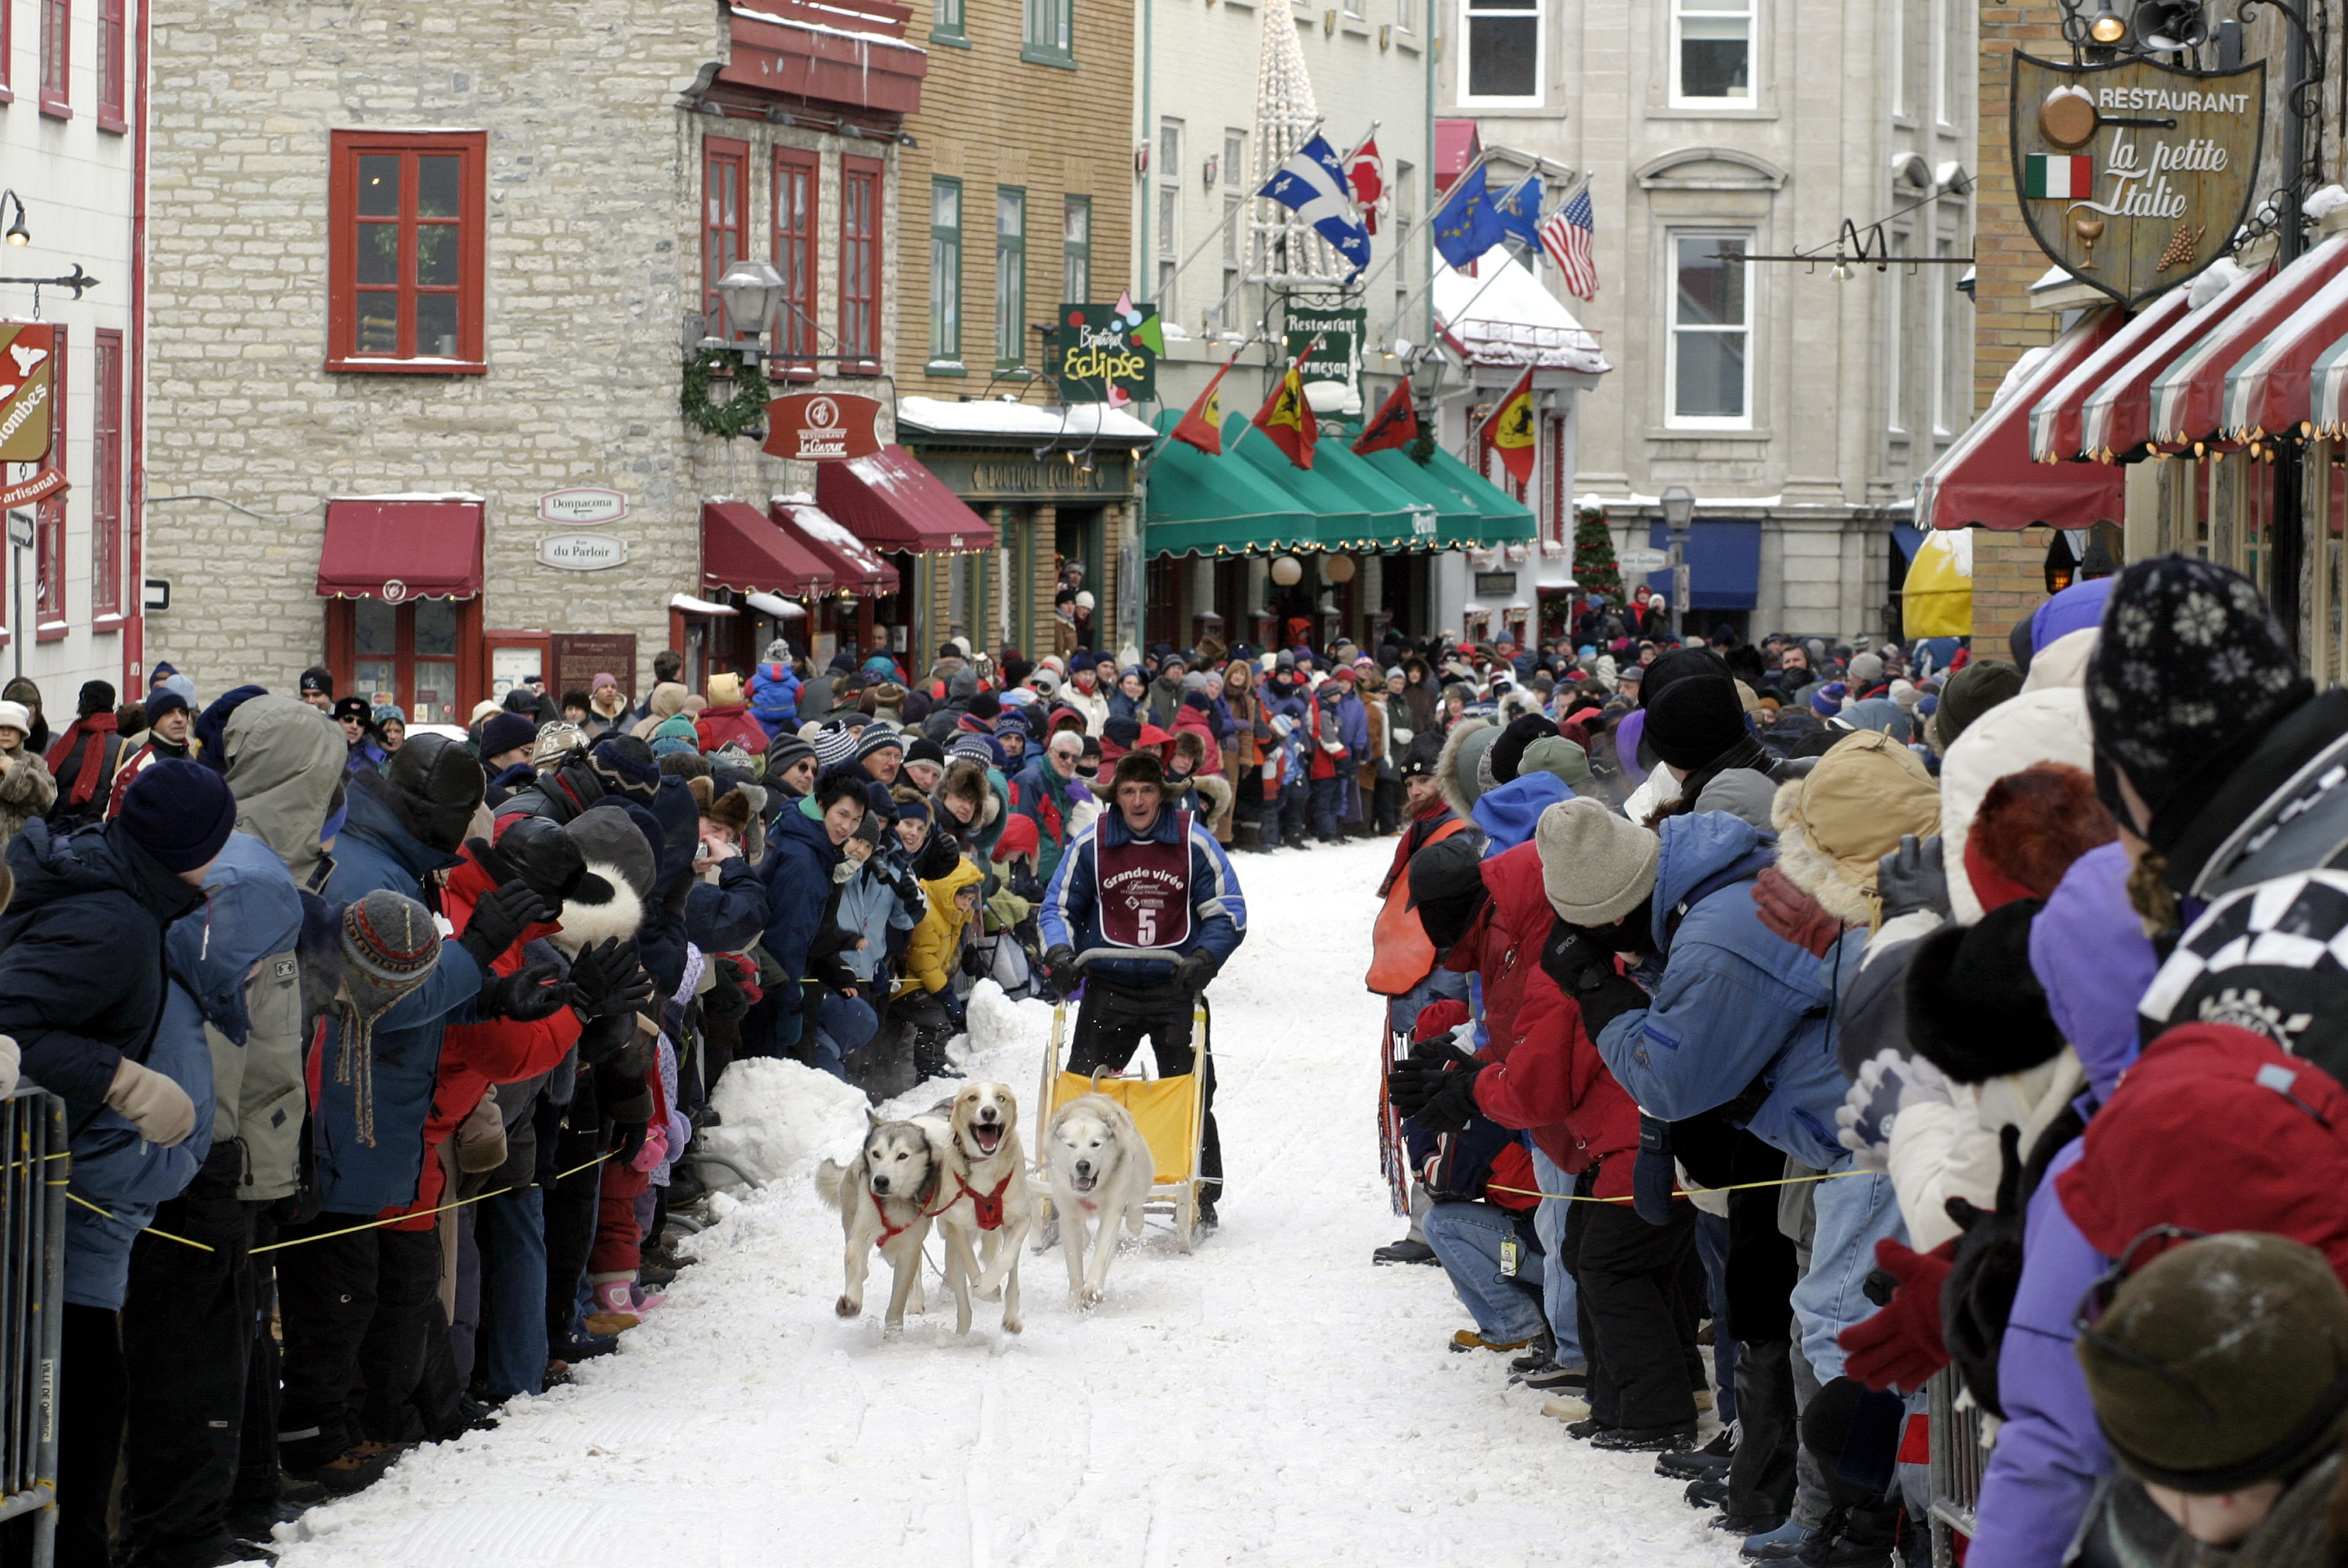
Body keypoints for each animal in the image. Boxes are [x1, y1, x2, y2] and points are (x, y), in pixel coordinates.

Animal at [817, 1103, 944, 1333]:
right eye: (876, 1154)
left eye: (902, 1156)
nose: (881, 1181)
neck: (897, 1203)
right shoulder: (863, 1229)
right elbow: (854, 1257)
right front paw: (852, 1300)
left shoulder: (909, 1246)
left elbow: (899, 1294)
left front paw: (894, 1332)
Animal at [1047, 1080, 1155, 1314]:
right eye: (1071, 1145)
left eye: (1095, 1144)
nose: (1083, 1165)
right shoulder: (1068, 1216)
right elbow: (1074, 1265)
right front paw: (1075, 1301)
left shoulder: (1112, 1213)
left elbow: (1102, 1253)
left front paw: (1092, 1290)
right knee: (1086, 1234)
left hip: (1141, 1175)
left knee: (1136, 1202)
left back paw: (1135, 1222)